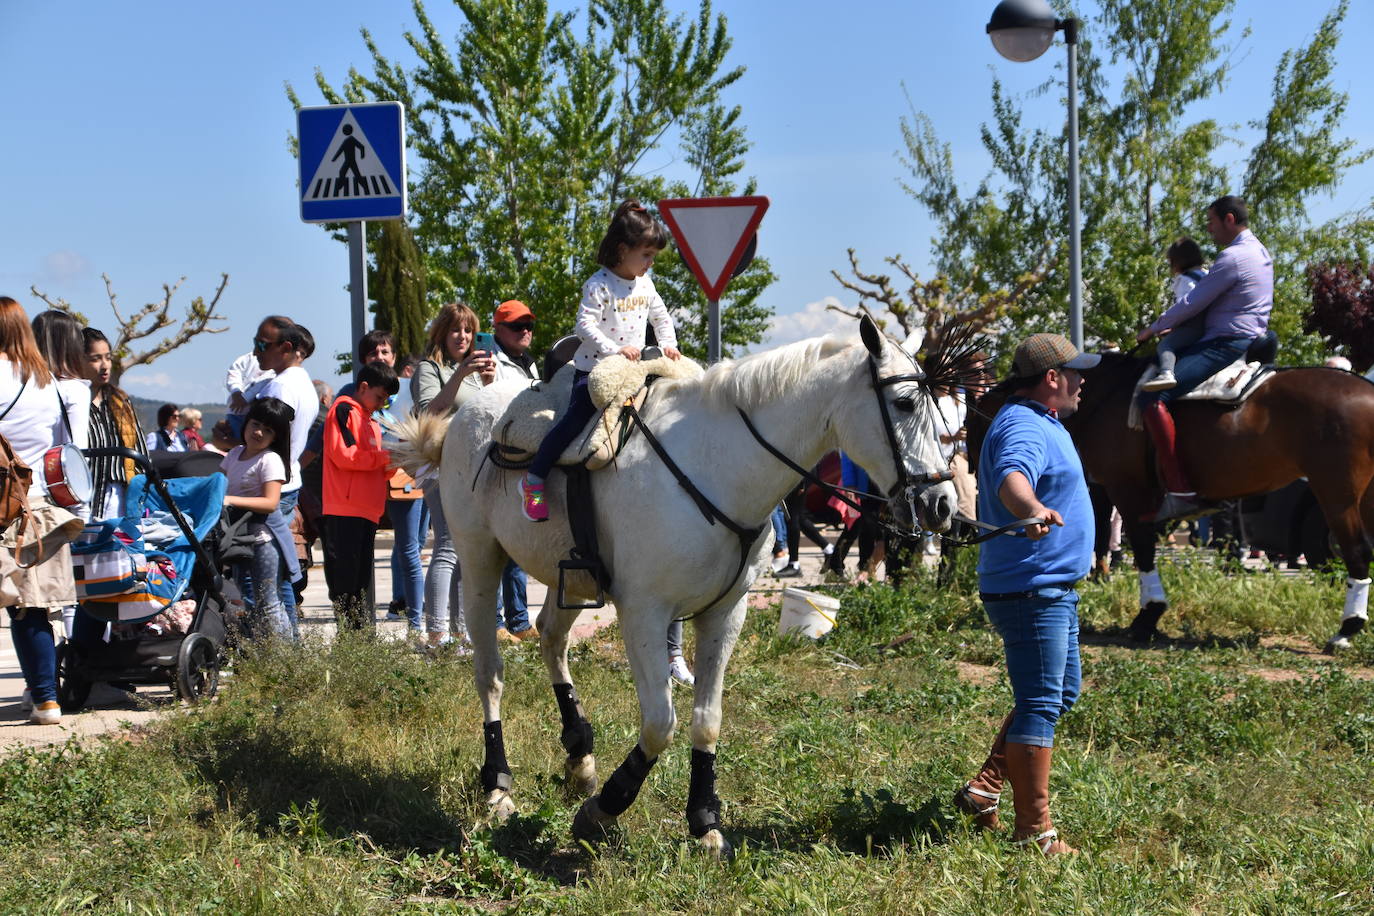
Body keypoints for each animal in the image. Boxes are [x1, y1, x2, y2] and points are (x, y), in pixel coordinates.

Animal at [395, 317, 956, 862]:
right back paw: (498, 784)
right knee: (490, 673)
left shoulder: (725, 614)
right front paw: (604, 810)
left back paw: (579, 755)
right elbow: (660, 722)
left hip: (569, 576)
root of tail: (469, 412)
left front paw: (704, 821)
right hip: (479, 559)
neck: (716, 465)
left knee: (551, 638)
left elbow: (707, 720)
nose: (944, 503)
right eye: (905, 403)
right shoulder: (644, 612)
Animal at [972, 357, 1374, 650]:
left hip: (1336, 493)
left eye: (976, 426)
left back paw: (1347, 629)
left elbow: (1144, 550)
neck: (1106, 397)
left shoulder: (1128, 492)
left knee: (1356, 551)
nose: (976, 471)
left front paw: (1148, 616)